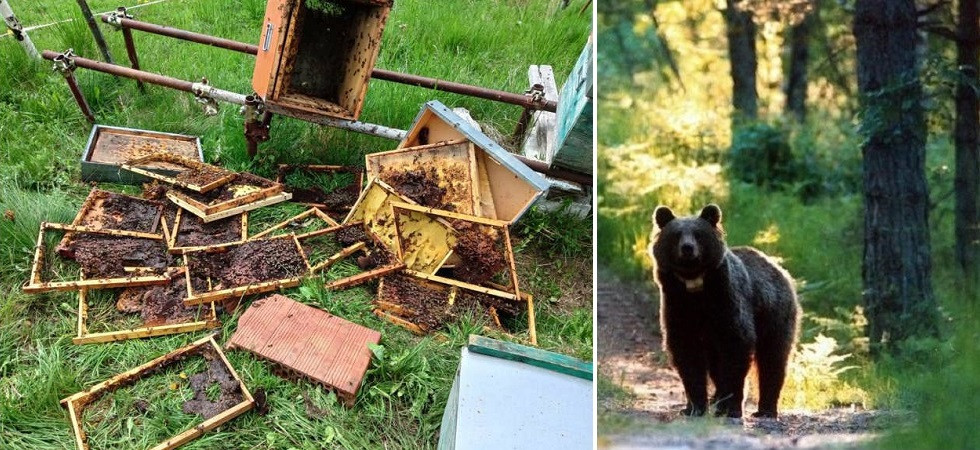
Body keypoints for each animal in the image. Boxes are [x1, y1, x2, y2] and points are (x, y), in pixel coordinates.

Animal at [649, 204, 800, 419]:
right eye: (676, 235)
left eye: (698, 234)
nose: (687, 248)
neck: (695, 287)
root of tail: (779, 268)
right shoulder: (678, 305)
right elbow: (686, 353)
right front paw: (694, 407)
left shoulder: (727, 302)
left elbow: (736, 347)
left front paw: (731, 407)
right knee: (716, 364)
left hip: (774, 313)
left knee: (773, 359)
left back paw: (765, 410)